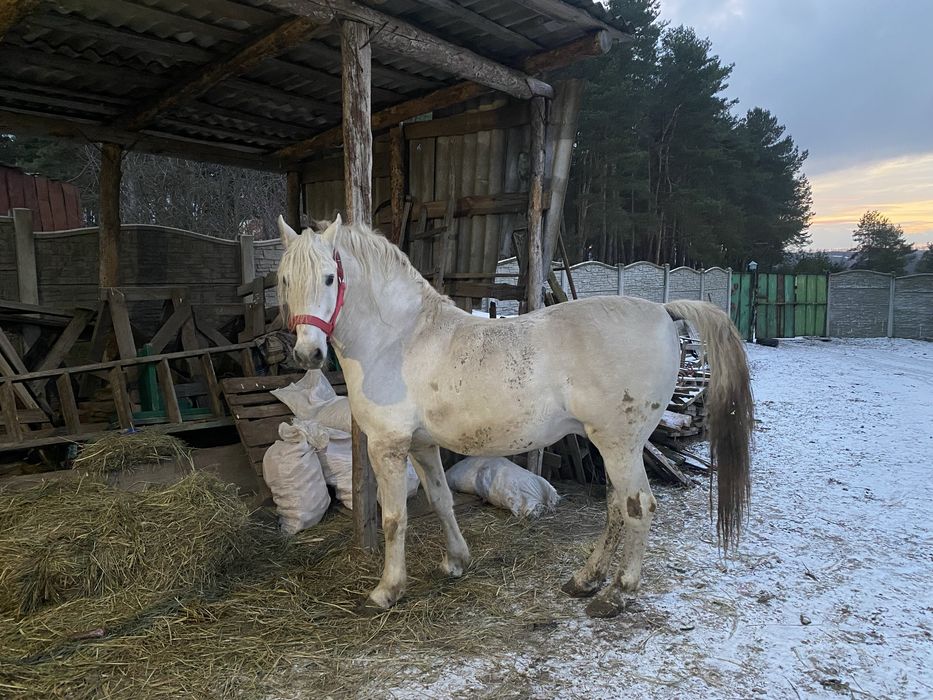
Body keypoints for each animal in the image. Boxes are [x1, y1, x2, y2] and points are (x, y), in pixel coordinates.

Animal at [276, 214, 753, 618]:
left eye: (330, 277)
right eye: (284, 279)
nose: (308, 353)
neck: (401, 339)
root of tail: (662, 310)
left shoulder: (387, 445)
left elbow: (395, 519)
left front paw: (386, 591)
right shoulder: (421, 444)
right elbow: (441, 500)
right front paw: (456, 562)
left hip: (620, 445)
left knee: (638, 507)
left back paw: (617, 593)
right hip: (613, 446)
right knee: (617, 507)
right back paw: (586, 580)